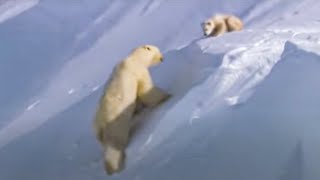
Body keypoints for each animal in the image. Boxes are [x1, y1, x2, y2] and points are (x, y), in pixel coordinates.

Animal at [94, 44, 171, 175]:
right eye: (158, 51)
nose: (162, 58)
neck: (133, 59)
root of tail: (100, 130)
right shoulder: (138, 72)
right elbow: (146, 90)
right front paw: (166, 96)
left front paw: (140, 108)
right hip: (116, 125)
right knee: (115, 146)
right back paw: (114, 166)